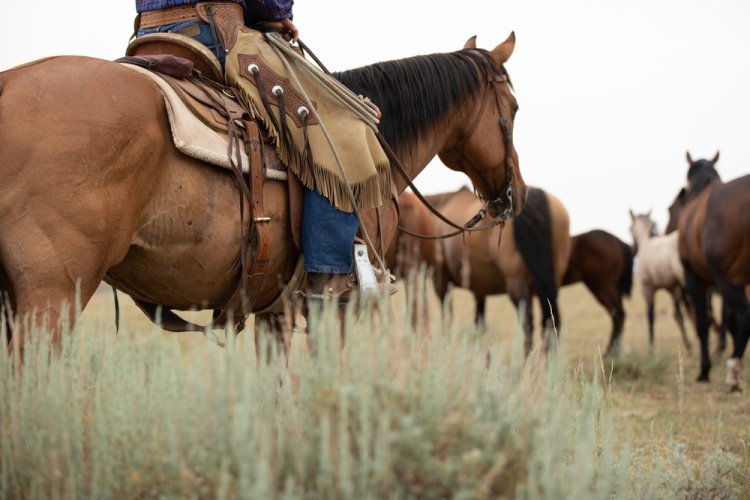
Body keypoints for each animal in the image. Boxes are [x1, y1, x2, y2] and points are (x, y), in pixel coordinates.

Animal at [564, 229, 636, 358]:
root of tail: (619, 241)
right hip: (613, 289)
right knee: (621, 314)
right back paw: (615, 352)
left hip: (601, 288)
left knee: (617, 315)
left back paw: (609, 353)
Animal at [628, 210, 692, 352]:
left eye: (629, 229)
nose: (633, 250)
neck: (646, 244)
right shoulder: (673, 288)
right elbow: (678, 315)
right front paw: (687, 345)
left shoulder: (647, 289)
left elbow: (650, 316)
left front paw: (651, 346)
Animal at [668, 152, 750, 390]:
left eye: (671, 208)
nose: (668, 229)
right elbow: (726, 321)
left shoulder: (695, 279)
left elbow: (703, 324)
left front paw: (704, 370)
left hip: (728, 279)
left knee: (745, 316)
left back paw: (733, 372)